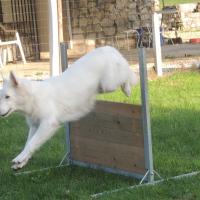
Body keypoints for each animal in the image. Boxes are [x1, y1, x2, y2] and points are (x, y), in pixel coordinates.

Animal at [0, 46, 138, 170]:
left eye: (7, 97)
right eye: (1, 97)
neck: (33, 97)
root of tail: (108, 48)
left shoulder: (48, 124)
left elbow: (32, 143)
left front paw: (19, 159)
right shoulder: (35, 125)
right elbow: (28, 143)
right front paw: (22, 161)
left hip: (108, 85)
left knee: (127, 73)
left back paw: (127, 89)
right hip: (102, 87)